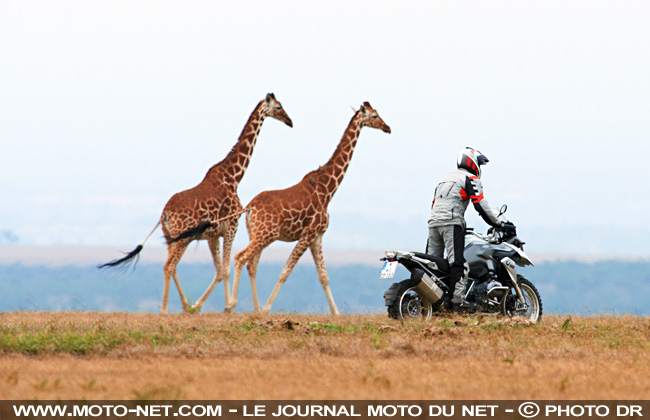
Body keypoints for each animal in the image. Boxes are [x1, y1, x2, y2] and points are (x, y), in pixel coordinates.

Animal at [100, 92, 292, 316]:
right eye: (278, 107)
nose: (290, 122)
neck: (233, 176)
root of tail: (164, 214)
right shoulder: (231, 227)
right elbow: (226, 268)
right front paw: (228, 307)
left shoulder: (213, 235)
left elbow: (219, 270)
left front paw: (198, 306)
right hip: (182, 237)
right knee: (168, 266)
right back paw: (164, 310)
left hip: (172, 237)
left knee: (173, 266)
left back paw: (184, 305)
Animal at [228, 101, 390, 312]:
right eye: (374, 116)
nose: (387, 128)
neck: (328, 189)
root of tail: (250, 207)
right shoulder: (308, 233)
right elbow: (285, 272)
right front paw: (266, 309)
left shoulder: (317, 236)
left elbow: (323, 277)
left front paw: (336, 314)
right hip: (266, 234)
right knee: (241, 257)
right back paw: (232, 305)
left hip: (256, 234)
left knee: (251, 264)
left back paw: (253, 309)